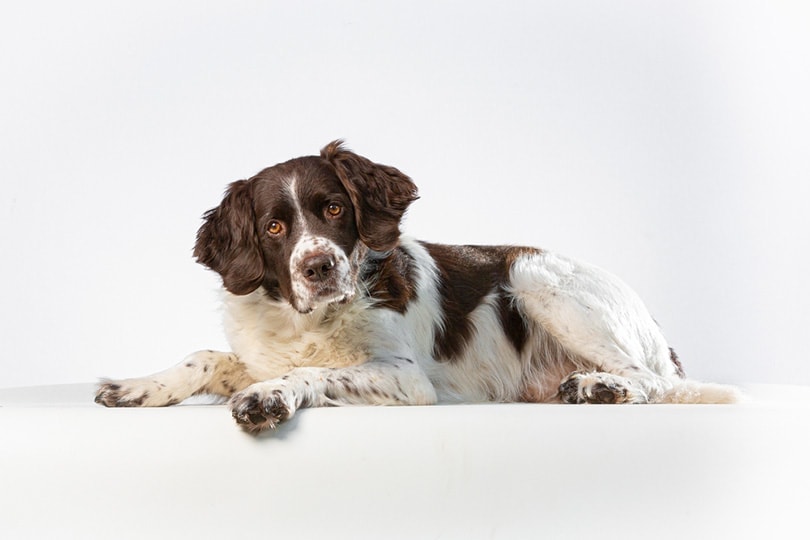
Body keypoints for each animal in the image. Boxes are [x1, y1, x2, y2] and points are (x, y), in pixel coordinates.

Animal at [96, 141, 740, 432]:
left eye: (334, 209)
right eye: (273, 228)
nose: (318, 267)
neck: (309, 320)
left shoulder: (406, 378)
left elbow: (310, 372)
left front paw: (271, 396)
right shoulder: (254, 350)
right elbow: (203, 357)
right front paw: (137, 387)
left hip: (534, 276)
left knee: (654, 380)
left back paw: (602, 386)